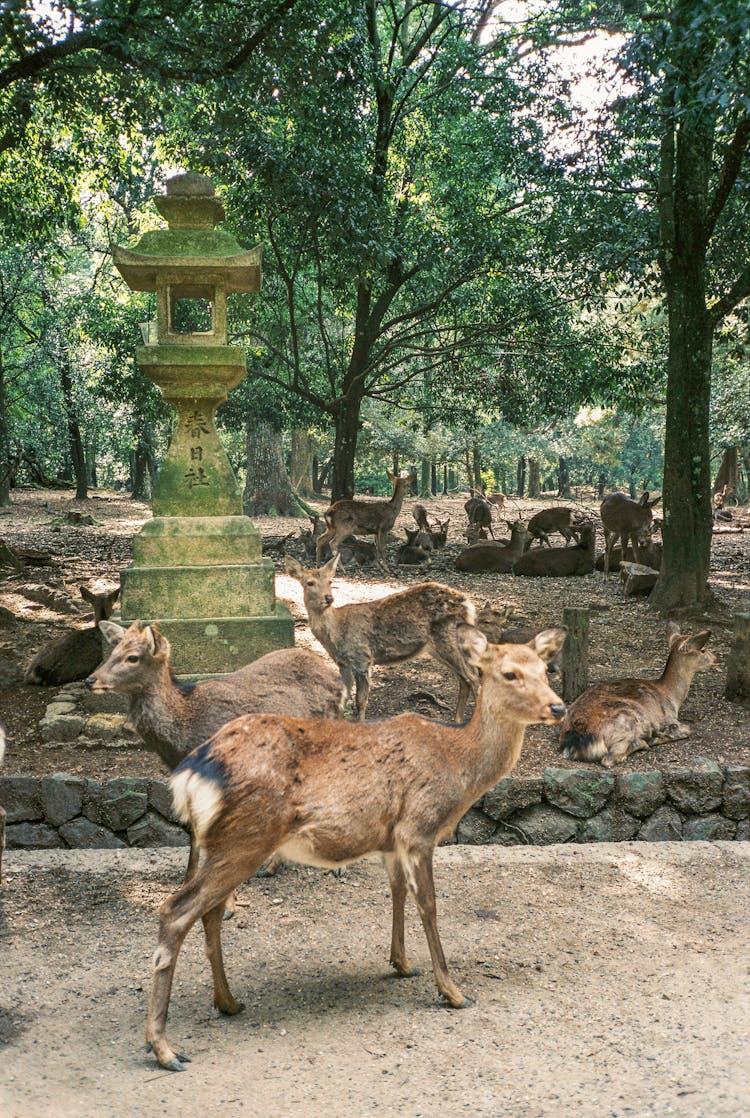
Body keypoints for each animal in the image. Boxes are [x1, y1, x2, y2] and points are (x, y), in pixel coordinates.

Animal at [146, 626, 565, 1068]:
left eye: (546, 669)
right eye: (509, 673)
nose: (558, 707)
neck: (458, 765)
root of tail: (191, 773)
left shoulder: (390, 839)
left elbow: (397, 893)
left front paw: (402, 964)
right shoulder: (419, 827)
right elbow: (429, 904)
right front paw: (452, 991)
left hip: (217, 843)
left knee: (209, 911)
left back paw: (228, 1002)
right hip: (246, 838)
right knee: (176, 910)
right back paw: (164, 1047)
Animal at [285, 554, 478, 719]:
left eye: (330, 581)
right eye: (309, 582)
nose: (328, 598)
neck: (336, 632)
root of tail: (468, 605)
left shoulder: (362, 657)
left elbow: (360, 701)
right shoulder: (343, 663)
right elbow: (342, 699)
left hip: (448, 638)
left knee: (474, 678)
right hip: (439, 647)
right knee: (465, 680)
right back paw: (457, 720)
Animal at [561, 626, 719, 764]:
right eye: (703, 649)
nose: (716, 659)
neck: (673, 698)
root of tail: (573, 743)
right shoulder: (669, 719)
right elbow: (688, 729)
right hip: (627, 719)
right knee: (610, 758)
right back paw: (646, 740)